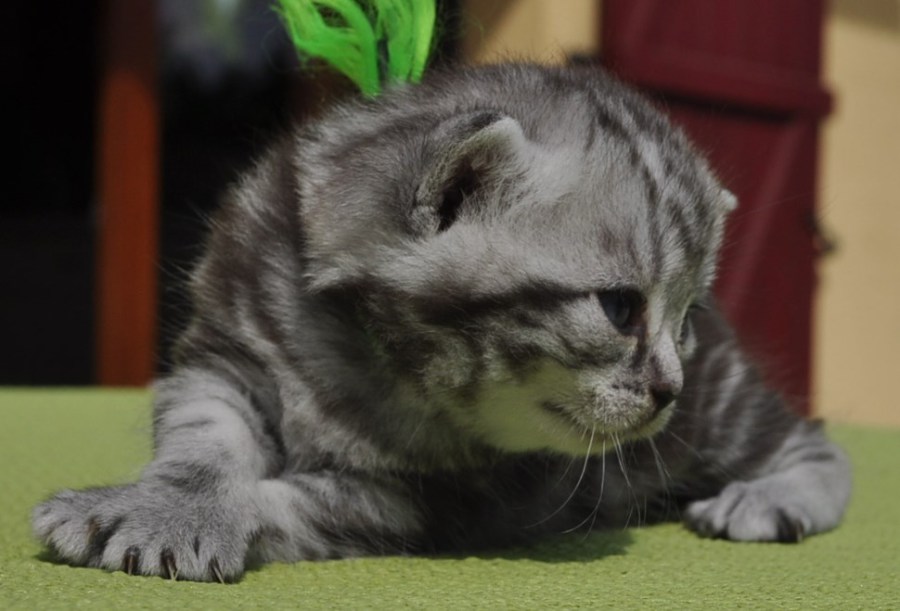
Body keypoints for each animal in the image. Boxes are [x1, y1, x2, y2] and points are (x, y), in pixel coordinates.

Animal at [33, 63, 851, 582]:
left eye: (684, 317)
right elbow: (202, 436)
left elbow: (294, 497)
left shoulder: (425, 499)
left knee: (813, 444)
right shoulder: (227, 353)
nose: (668, 386)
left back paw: (769, 498)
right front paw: (170, 502)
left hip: (721, 410)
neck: (374, 356)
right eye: (621, 307)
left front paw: (206, 513)